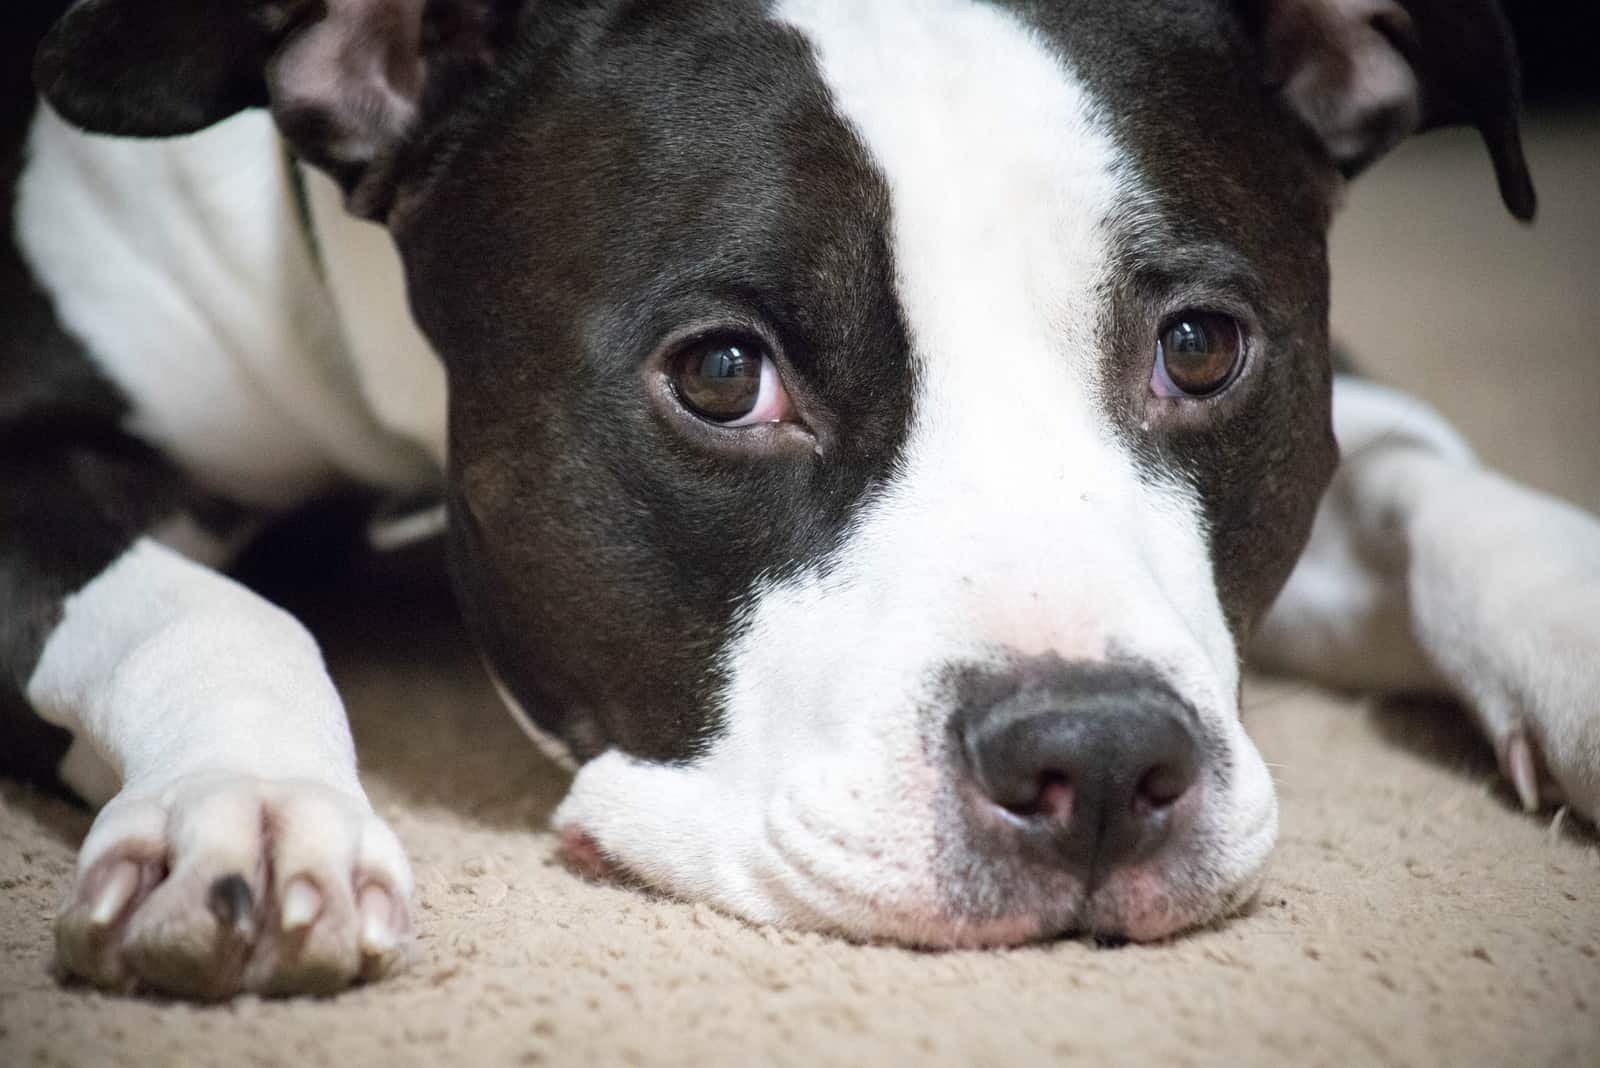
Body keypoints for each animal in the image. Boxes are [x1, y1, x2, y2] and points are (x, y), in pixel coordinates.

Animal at [3, 0, 1600, 1004]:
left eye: (1200, 347)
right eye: (723, 375)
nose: (1095, 762)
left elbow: (1425, 481)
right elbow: (201, 607)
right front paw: (251, 807)